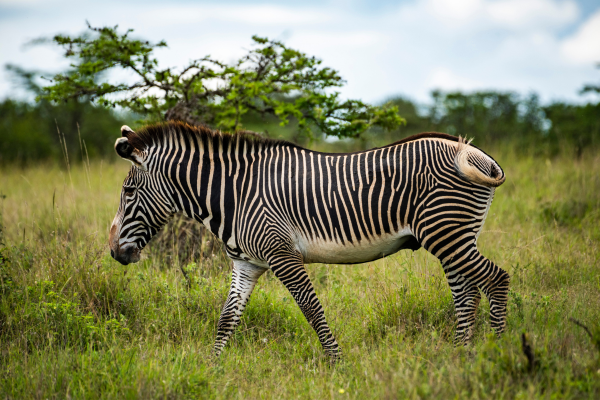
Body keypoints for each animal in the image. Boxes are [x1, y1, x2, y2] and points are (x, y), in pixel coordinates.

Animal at [110, 121, 508, 360]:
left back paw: (496, 351)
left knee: (496, 280)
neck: (234, 195)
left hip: (447, 232)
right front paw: (211, 368)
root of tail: (472, 151)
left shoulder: (282, 254)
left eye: (128, 192)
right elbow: (226, 319)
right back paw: (459, 355)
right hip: (451, 236)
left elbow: (312, 310)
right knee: (466, 294)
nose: (114, 252)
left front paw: (339, 364)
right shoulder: (246, 263)